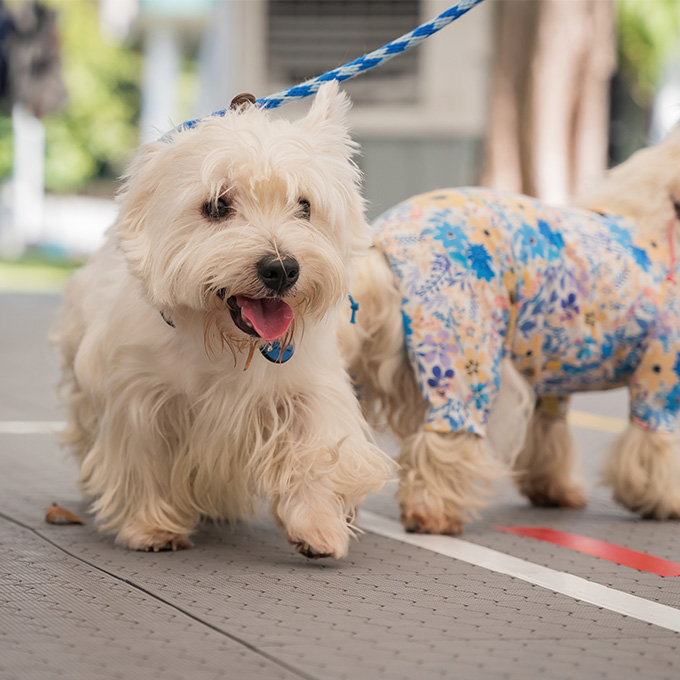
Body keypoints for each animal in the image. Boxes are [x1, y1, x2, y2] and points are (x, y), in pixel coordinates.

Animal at [50, 81, 394, 556]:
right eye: (216, 206)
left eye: (305, 206)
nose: (282, 269)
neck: (224, 341)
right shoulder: (140, 397)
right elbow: (143, 459)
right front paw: (151, 527)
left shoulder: (308, 388)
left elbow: (316, 449)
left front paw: (318, 528)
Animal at [340, 129, 680, 536]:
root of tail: (381, 244)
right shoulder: (660, 376)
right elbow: (656, 446)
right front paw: (664, 499)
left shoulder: (553, 380)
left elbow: (548, 435)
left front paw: (552, 487)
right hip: (464, 359)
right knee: (445, 441)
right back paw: (431, 512)